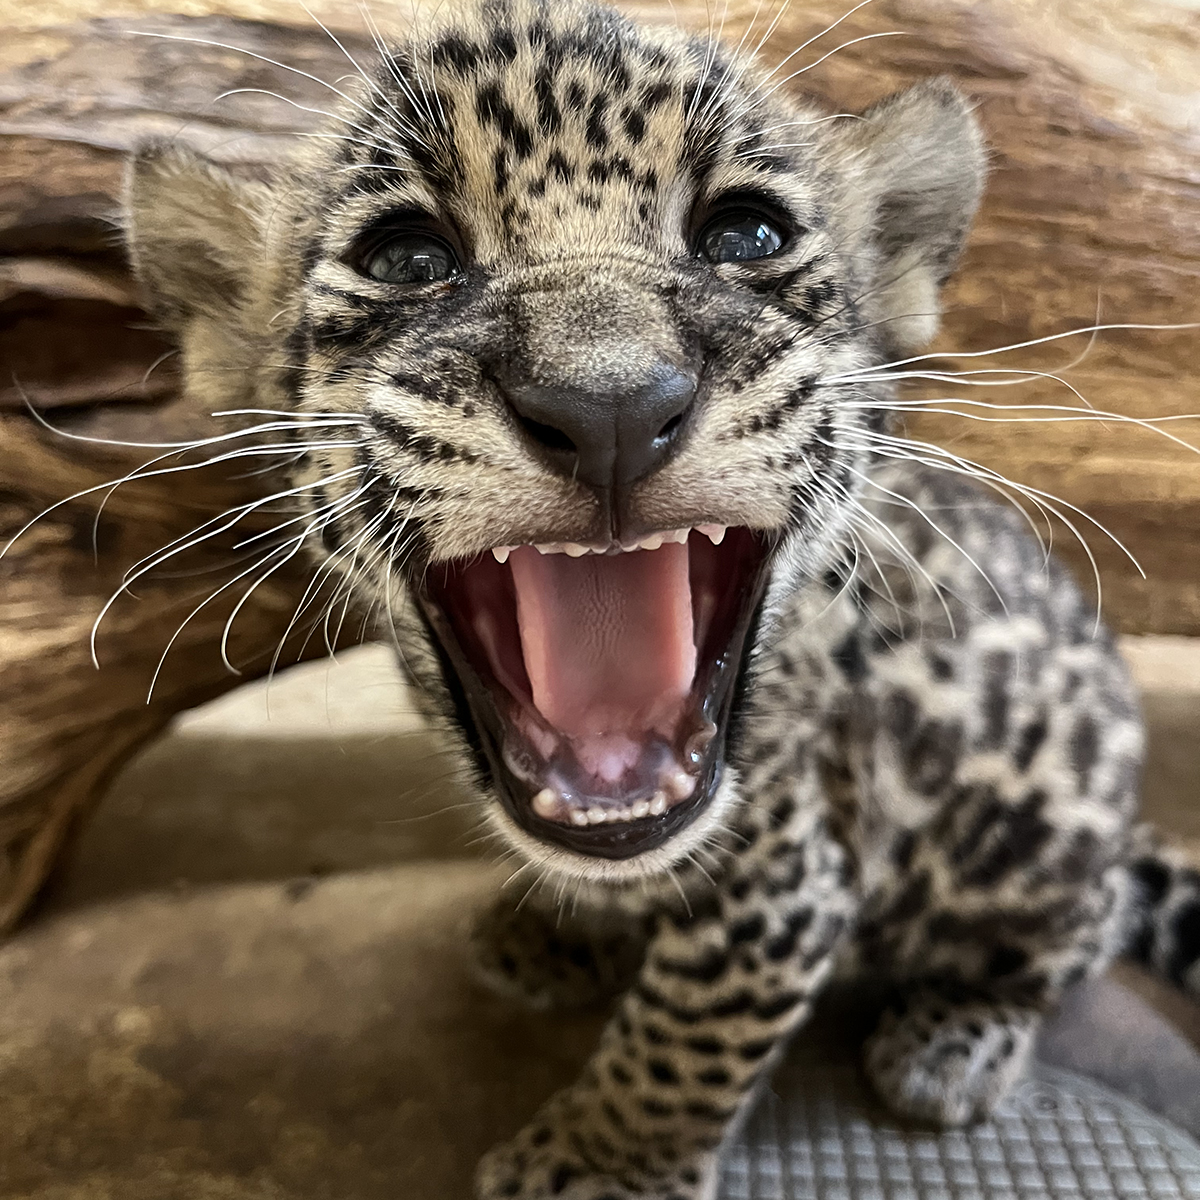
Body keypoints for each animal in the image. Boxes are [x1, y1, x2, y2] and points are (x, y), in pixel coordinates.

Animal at [120, 0, 1200, 1196]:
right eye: (406, 258)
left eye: (747, 237)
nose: (610, 406)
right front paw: (560, 932)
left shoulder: (784, 882)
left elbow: (684, 1036)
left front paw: (603, 1163)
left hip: (1042, 830)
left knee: (1071, 938)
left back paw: (953, 1037)